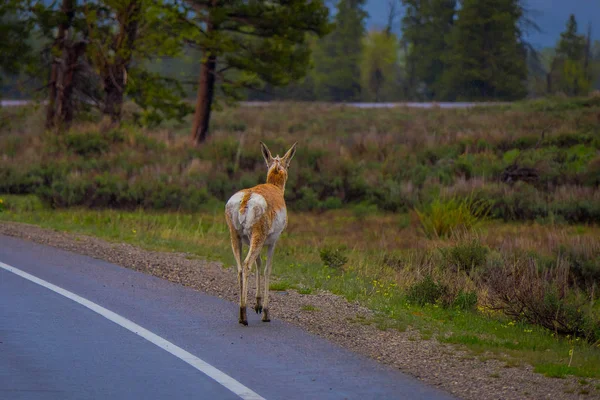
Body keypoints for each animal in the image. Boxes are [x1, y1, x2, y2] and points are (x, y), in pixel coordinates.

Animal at [225, 141, 298, 324]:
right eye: (289, 163)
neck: (274, 187)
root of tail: (247, 198)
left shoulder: (252, 241)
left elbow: (259, 264)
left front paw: (257, 304)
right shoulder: (272, 242)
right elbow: (267, 269)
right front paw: (265, 312)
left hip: (236, 238)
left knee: (240, 268)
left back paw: (241, 313)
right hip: (257, 238)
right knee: (247, 264)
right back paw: (244, 316)